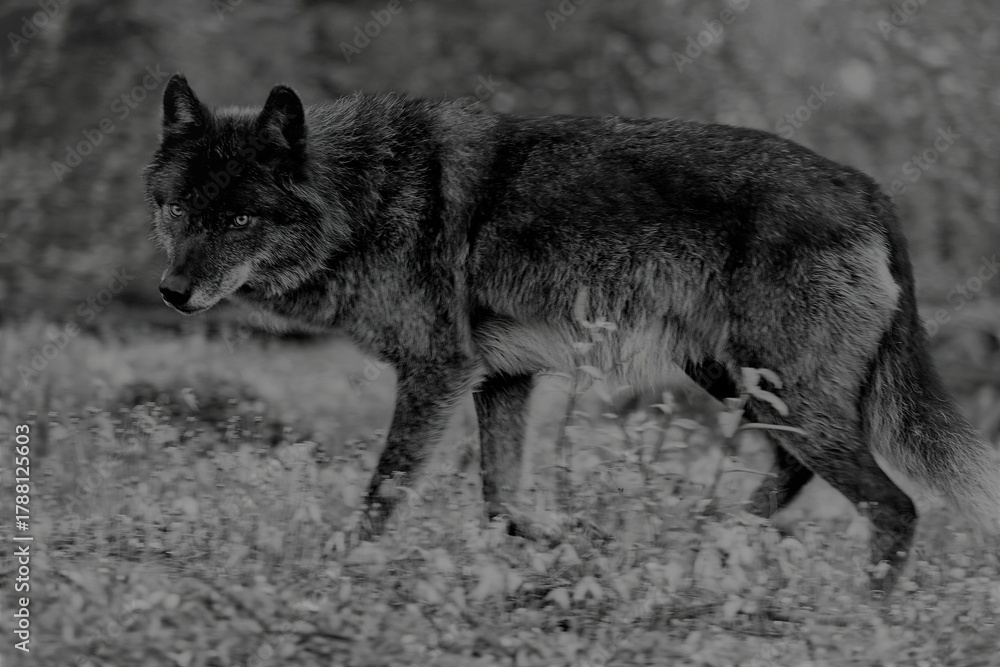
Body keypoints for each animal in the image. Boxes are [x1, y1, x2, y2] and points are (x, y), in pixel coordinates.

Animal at [143, 74, 1000, 594]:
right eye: (178, 209)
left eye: (240, 219)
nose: (173, 293)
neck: (369, 192)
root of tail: (870, 187)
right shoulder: (499, 379)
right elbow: (499, 500)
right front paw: (554, 545)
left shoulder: (437, 371)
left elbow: (383, 493)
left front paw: (343, 576)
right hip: (738, 381)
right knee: (792, 473)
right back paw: (705, 542)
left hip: (784, 394)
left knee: (895, 506)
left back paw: (863, 609)